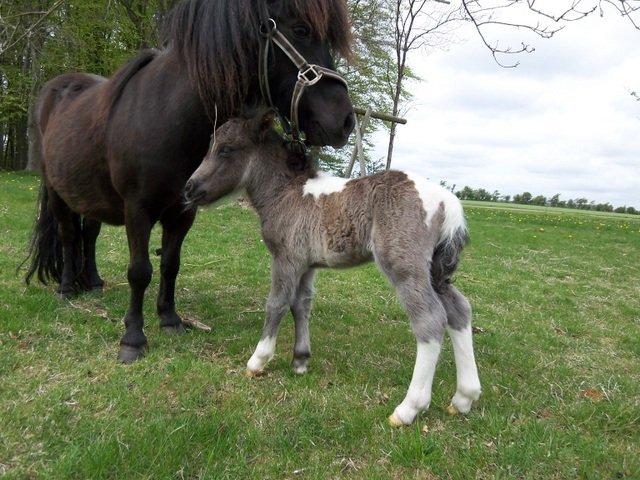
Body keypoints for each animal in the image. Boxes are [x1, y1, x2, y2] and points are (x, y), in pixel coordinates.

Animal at [23, 0, 356, 362]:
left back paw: (93, 281)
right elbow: (139, 271)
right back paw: (67, 287)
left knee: (89, 233)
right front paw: (133, 338)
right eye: (301, 30)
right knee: (69, 236)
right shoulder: (137, 209)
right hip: (57, 192)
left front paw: (169, 319)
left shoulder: (183, 211)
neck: (165, 116)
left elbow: (170, 263)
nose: (345, 121)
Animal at [184, 113, 480, 428]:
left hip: (405, 266)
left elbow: (276, 304)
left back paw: (409, 408)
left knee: (430, 319)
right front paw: (300, 361)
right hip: (436, 271)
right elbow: (301, 304)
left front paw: (258, 360)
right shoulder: (307, 265)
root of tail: (448, 202)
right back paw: (464, 397)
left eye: (226, 149)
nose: (189, 188)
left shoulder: (286, 259)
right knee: (459, 310)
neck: (287, 192)